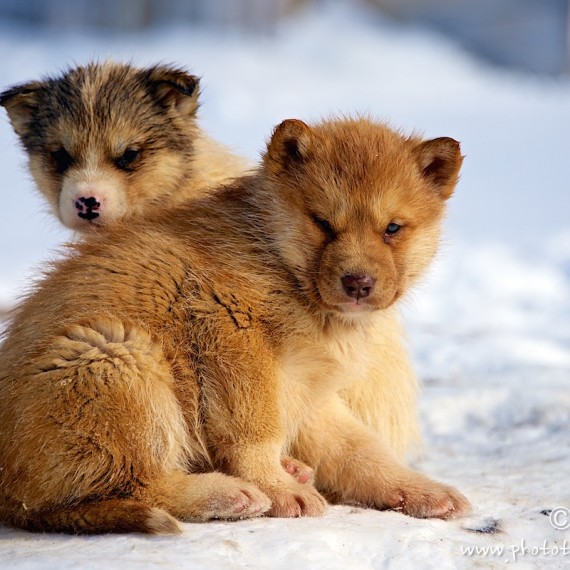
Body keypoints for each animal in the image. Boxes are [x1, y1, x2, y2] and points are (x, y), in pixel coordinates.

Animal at [0, 116, 466, 532]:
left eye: (393, 228)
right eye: (322, 223)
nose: (358, 283)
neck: (278, 260)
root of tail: (11, 498)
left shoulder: (310, 392)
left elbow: (359, 449)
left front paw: (419, 490)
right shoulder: (234, 337)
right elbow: (254, 432)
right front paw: (277, 489)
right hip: (118, 358)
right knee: (138, 483)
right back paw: (227, 493)